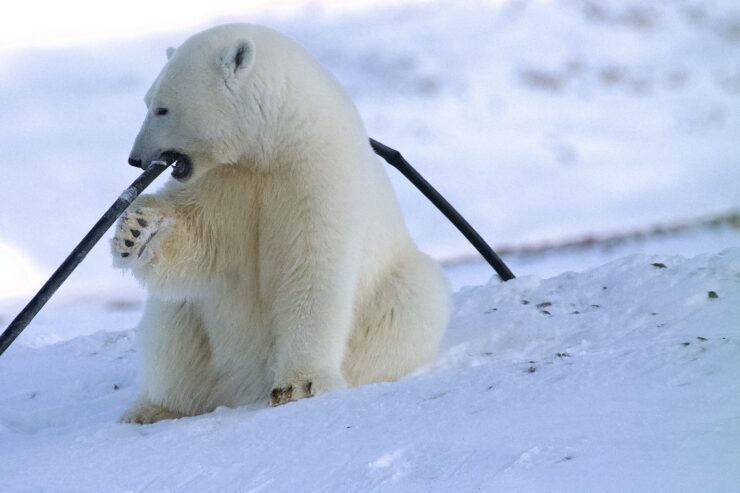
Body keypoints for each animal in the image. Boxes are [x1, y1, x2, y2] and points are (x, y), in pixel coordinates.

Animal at [112, 23, 450, 424]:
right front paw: (135, 230)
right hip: (196, 329)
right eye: (148, 102)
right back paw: (153, 409)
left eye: (163, 108)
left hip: (395, 291)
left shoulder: (316, 175)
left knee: (413, 302)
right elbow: (199, 241)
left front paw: (300, 385)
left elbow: (312, 267)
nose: (135, 159)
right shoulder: (227, 181)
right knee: (173, 322)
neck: (277, 140)